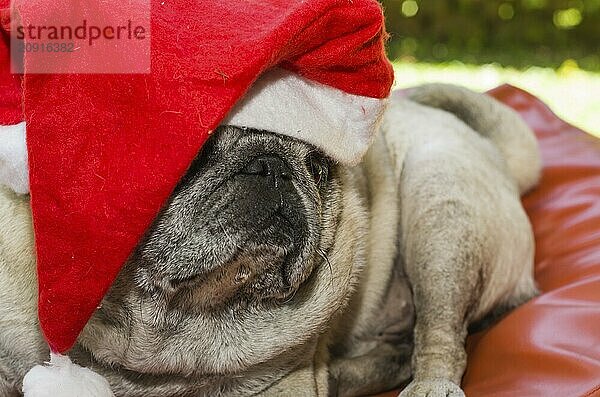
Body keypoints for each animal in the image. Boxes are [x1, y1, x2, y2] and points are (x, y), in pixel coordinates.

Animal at [0, 82, 540, 394]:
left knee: (439, 335)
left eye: (319, 168)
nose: (273, 167)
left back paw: (424, 383)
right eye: (195, 152)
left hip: (441, 214)